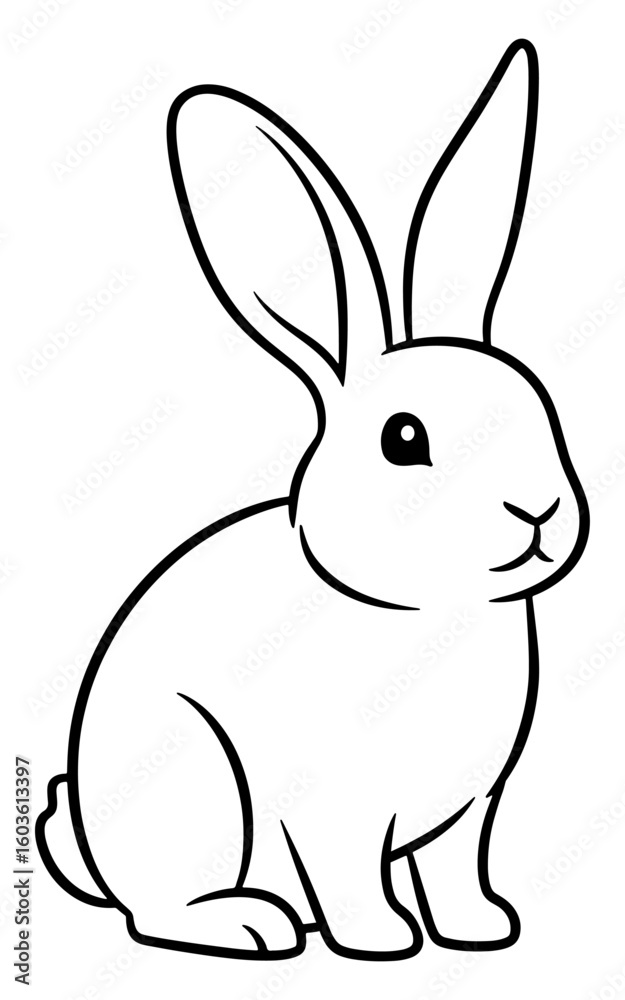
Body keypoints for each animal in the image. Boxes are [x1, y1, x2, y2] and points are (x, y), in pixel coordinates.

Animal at [37, 38, 589, 962]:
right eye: (404, 439)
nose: (539, 514)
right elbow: (352, 878)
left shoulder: (469, 814)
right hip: (200, 791)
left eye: (537, 404)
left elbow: (456, 870)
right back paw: (250, 923)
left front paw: (482, 929)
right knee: (159, 910)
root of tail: (85, 845)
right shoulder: (331, 815)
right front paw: (383, 943)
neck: (427, 612)